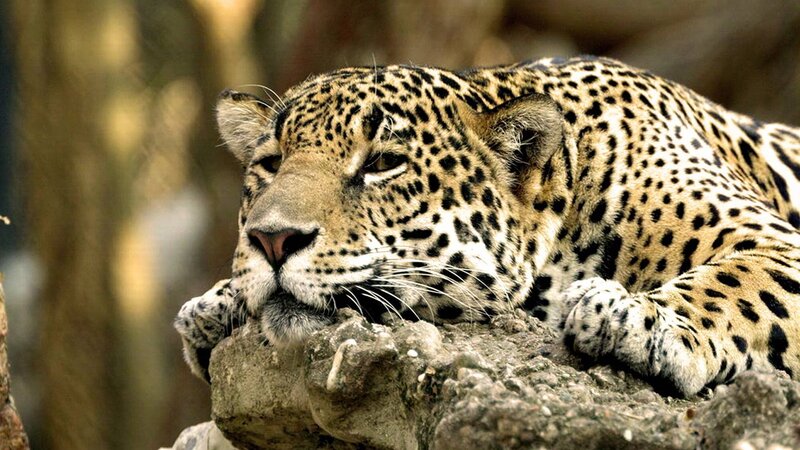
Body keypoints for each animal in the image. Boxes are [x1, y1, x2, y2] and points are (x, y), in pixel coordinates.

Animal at [174, 56, 800, 397]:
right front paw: (217, 302)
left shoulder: (774, 241)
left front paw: (635, 317)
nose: (272, 239)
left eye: (382, 163)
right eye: (271, 163)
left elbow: (732, 284)